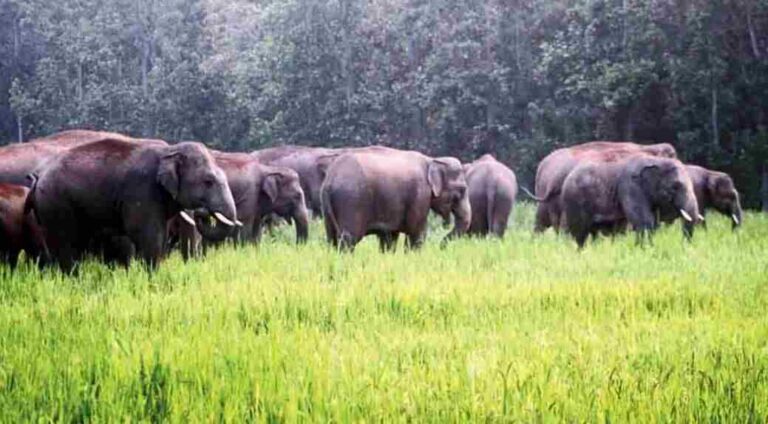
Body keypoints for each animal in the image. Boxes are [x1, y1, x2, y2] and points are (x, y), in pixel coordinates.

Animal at [28, 138, 237, 271]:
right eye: (208, 181)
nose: (202, 212)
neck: (169, 151)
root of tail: (38, 177)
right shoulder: (142, 191)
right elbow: (148, 236)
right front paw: (152, 279)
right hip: (56, 205)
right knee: (66, 246)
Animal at [176, 150, 309, 260]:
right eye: (297, 196)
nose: (297, 249)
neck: (267, 169)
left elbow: (256, 230)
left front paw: (254, 253)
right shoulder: (249, 196)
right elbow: (245, 228)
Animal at [321, 148, 470, 251]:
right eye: (462, 190)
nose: (441, 247)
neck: (432, 160)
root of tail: (330, 179)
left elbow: (389, 238)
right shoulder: (420, 195)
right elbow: (417, 233)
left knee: (332, 239)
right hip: (351, 201)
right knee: (348, 239)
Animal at [561, 155, 700, 248]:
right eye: (675, 187)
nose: (685, 246)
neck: (656, 160)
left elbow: (652, 222)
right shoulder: (630, 187)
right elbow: (644, 220)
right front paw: (645, 249)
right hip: (574, 201)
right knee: (580, 233)